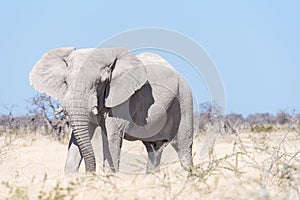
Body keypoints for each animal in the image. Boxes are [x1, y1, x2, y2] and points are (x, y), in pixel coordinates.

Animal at [29, 47, 193, 173]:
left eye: (99, 82)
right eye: (66, 82)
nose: (89, 173)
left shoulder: (122, 101)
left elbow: (112, 136)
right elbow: (77, 138)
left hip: (185, 100)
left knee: (184, 149)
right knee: (153, 149)